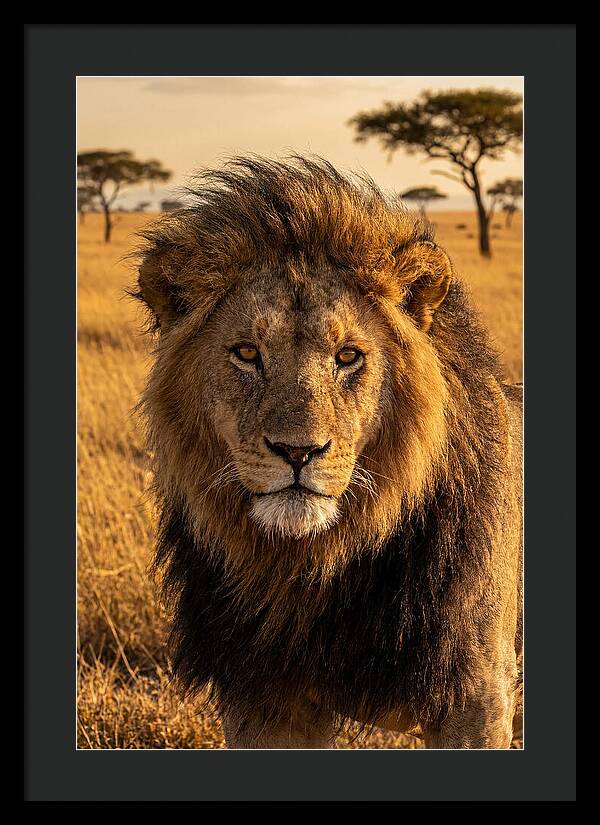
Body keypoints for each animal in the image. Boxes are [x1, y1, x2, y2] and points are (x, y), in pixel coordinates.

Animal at [134, 156, 523, 749]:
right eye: (246, 353)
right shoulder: (263, 698)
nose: (298, 452)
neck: (313, 567)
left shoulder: (477, 695)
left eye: (348, 356)